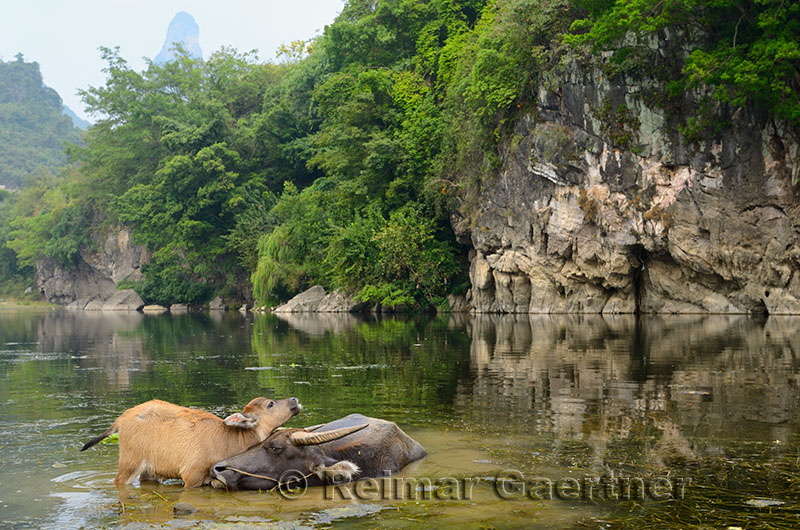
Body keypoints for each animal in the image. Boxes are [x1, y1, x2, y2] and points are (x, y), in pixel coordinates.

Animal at [82, 396, 300, 486]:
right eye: (270, 404)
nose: (294, 400)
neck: (230, 439)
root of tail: (121, 418)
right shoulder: (191, 476)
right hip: (129, 463)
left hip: (148, 470)